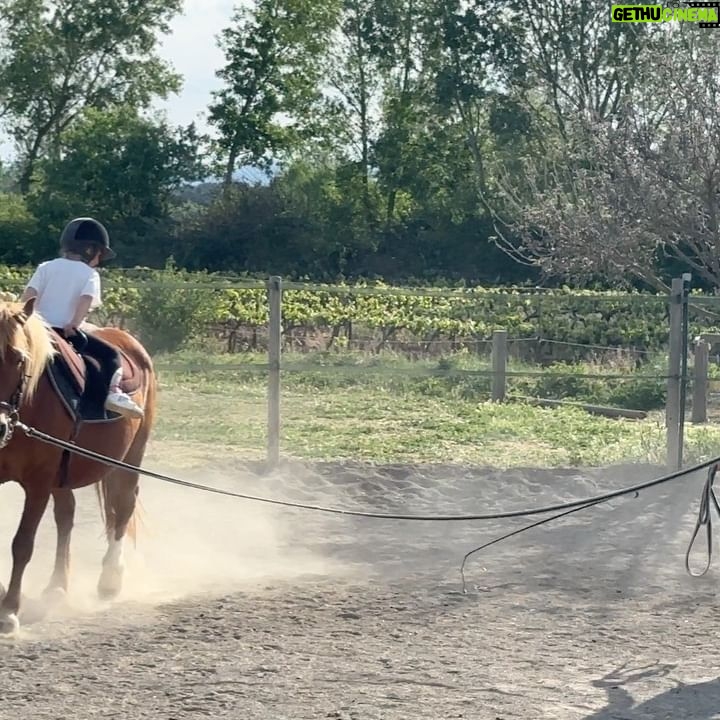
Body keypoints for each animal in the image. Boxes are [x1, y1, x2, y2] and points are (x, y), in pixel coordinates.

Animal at [0, 296, 156, 632]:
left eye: (18, 359)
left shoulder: (39, 482)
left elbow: (23, 544)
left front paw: (9, 611)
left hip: (130, 459)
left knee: (123, 505)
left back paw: (110, 579)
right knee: (66, 514)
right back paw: (57, 586)